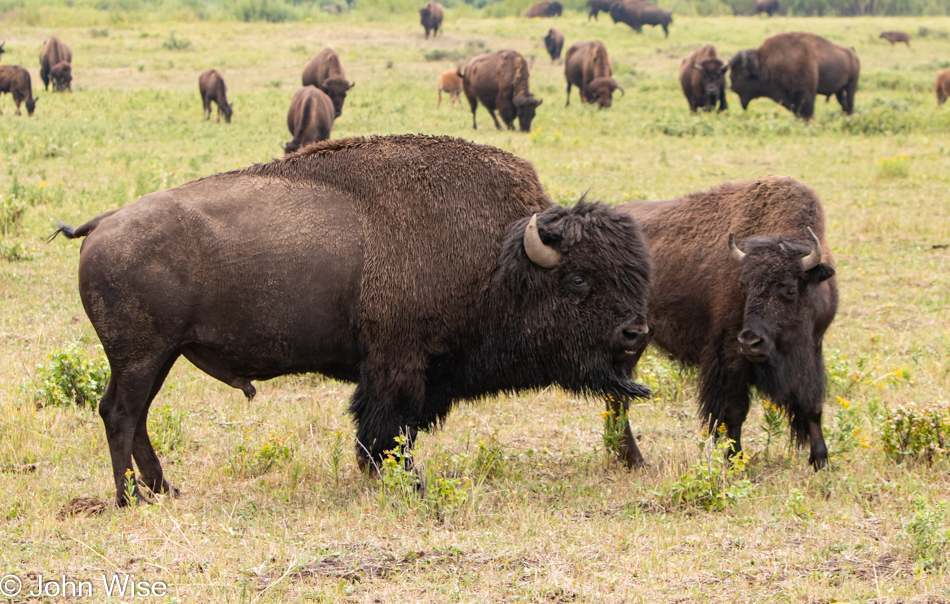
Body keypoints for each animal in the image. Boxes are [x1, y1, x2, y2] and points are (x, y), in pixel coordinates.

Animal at [54, 134, 656, 508]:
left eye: (635, 274)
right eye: (578, 281)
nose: (636, 332)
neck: (500, 256)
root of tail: (104, 222)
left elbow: (386, 430)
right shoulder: (398, 365)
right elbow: (389, 428)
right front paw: (408, 484)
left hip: (160, 356)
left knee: (136, 417)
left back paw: (163, 491)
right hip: (141, 356)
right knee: (120, 414)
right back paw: (129, 499)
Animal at [620, 177, 836, 470]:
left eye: (790, 289)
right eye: (743, 286)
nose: (751, 342)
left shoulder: (812, 351)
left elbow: (812, 406)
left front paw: (822, 461)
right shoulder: (730, 356)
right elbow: (734, 411)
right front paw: (735, 459)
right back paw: (636, 460)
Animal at [728, 31, 864, 119]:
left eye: (740, 72)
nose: (732, 86)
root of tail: (851, 51)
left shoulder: (806, 94)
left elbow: (808, 111)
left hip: (851, 85)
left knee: (850, 103)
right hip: (839, 91)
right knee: (844, 104)